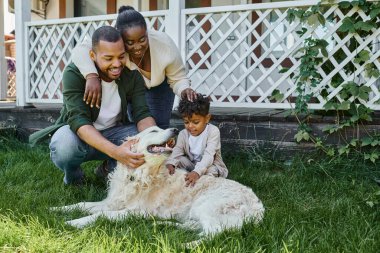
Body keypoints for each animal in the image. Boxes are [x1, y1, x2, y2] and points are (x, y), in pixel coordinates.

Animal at [54, 126, 264, 235]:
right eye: (154, 130)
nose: (175, 128)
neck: (138, 174)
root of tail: (259, 208)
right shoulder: (111, 202)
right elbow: (82, 204)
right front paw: (57, 209)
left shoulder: (135, 211)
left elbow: (100, 215)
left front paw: (73, 223)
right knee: (196, 226)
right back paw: (164, 225)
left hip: (205, 205)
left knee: (214, 232)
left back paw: (189, 244)